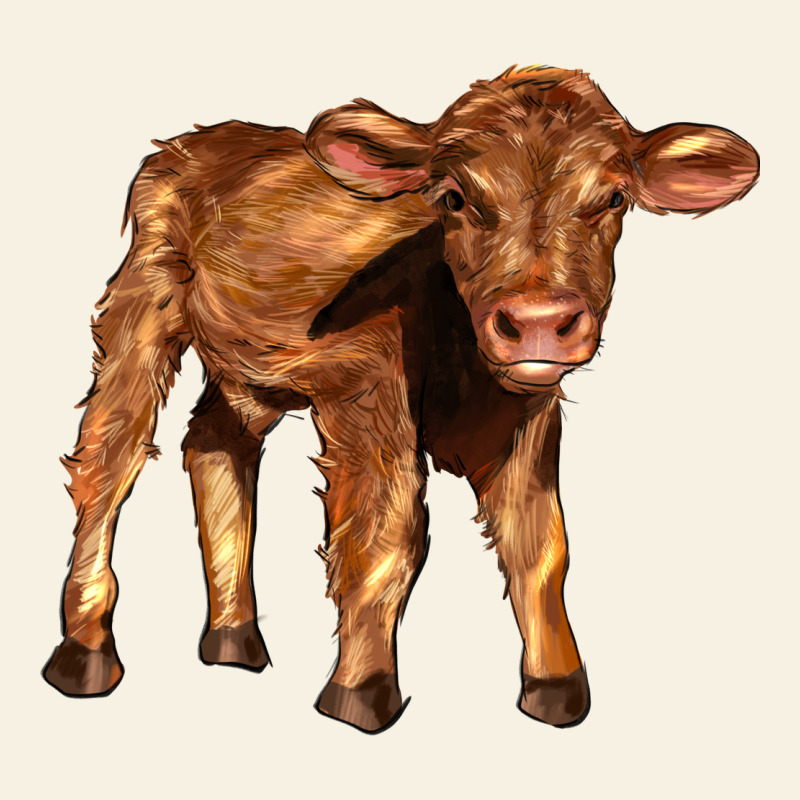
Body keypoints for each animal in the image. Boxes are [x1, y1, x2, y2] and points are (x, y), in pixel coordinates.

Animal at [43, 65, 759, 732]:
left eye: (613, 197)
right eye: (454, 197)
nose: (537, 320)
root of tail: (204, 139)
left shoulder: (526, 417)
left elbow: (541, 547)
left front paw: (556, 689)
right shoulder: (367, 399)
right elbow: (387, 537)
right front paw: (361, 691)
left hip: (251, 371)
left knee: (214, 445)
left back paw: (233, 637)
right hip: (142, 309)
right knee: (109, 458)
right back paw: (85, 651)